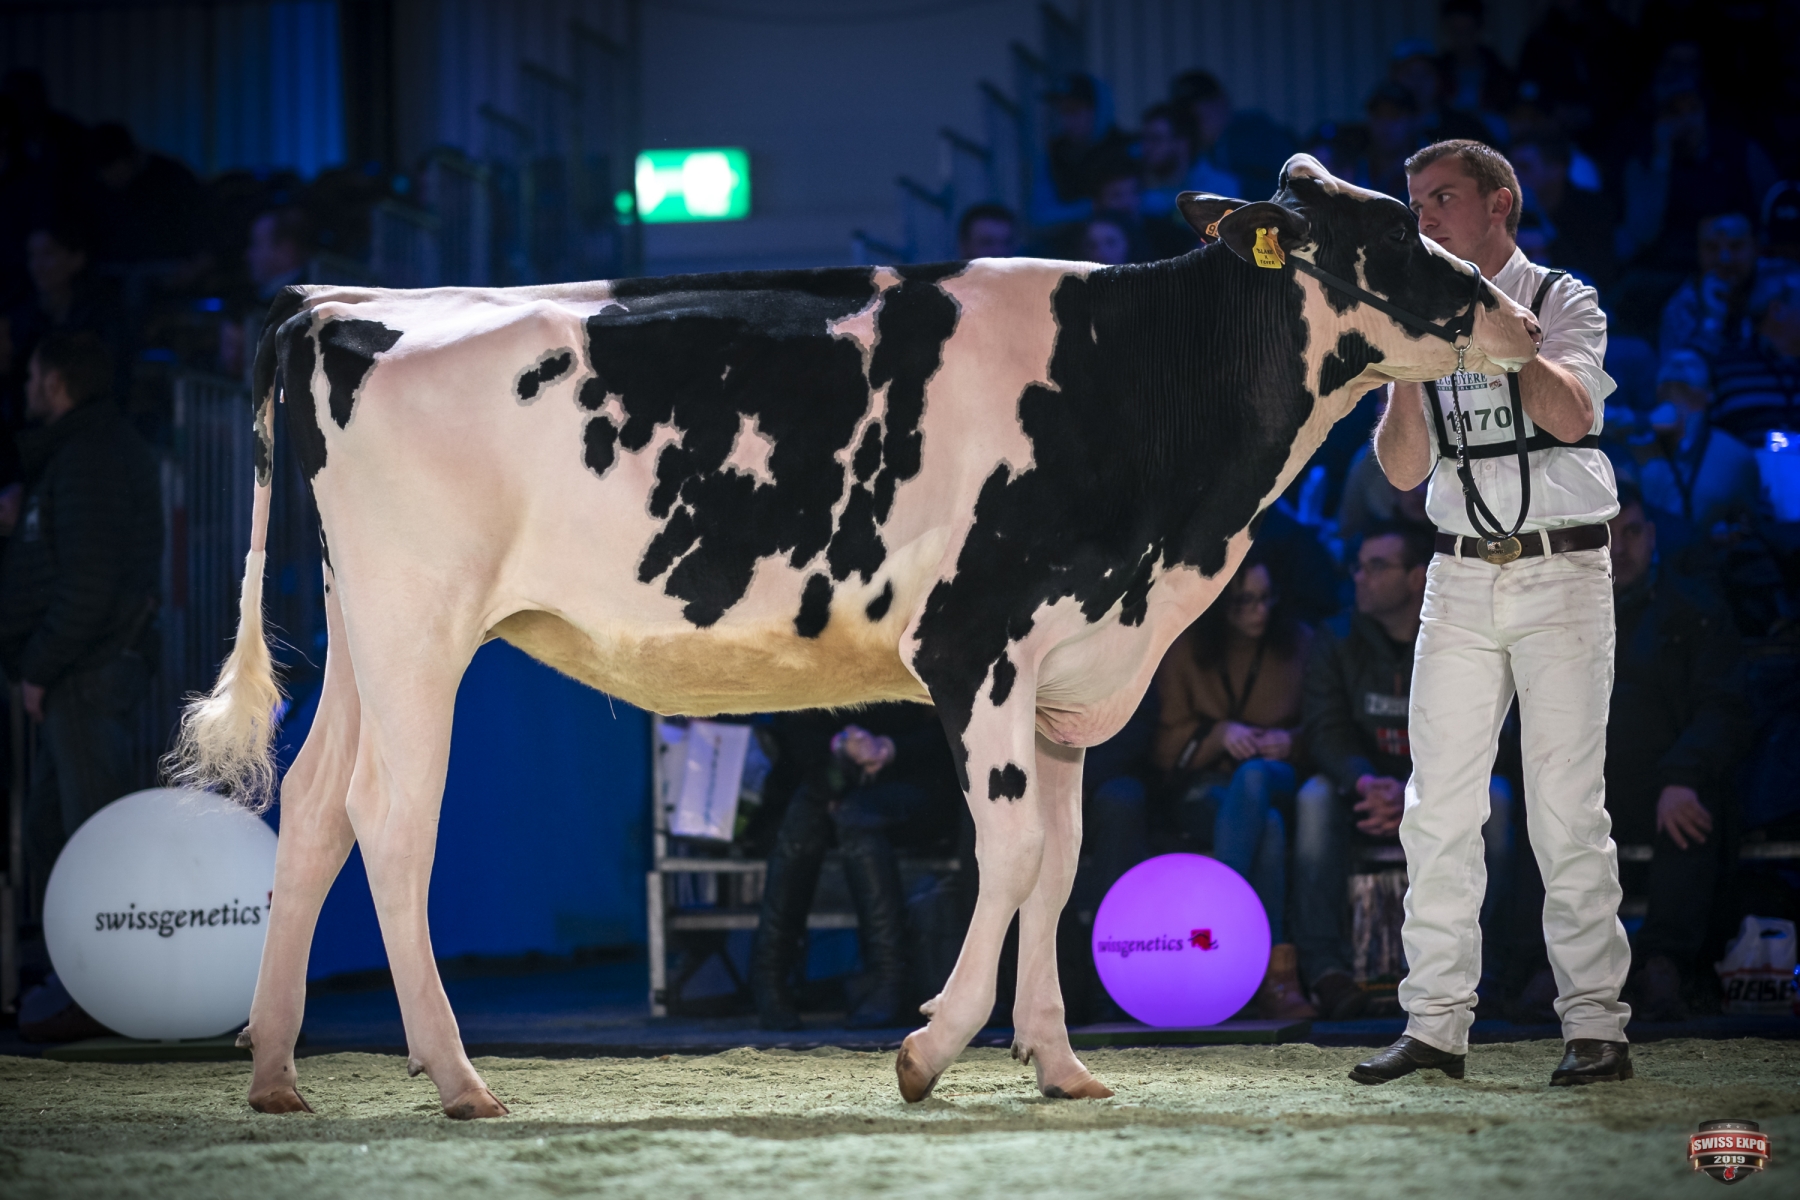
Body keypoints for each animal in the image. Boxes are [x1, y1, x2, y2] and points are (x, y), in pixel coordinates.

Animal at [172, 155, 1539, 1119]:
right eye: (1391, 235)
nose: (1515, 317)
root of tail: (341, 304)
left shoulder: (1067, 671)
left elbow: (1063, 863)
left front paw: (1059, 1065)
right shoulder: (976, 645)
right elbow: (1010, 854)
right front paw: (931, 1046)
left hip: (363, 631)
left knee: (315, 806)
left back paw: (278, 1072)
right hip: (421, 625)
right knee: (394, 823)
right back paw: (456, 1077)